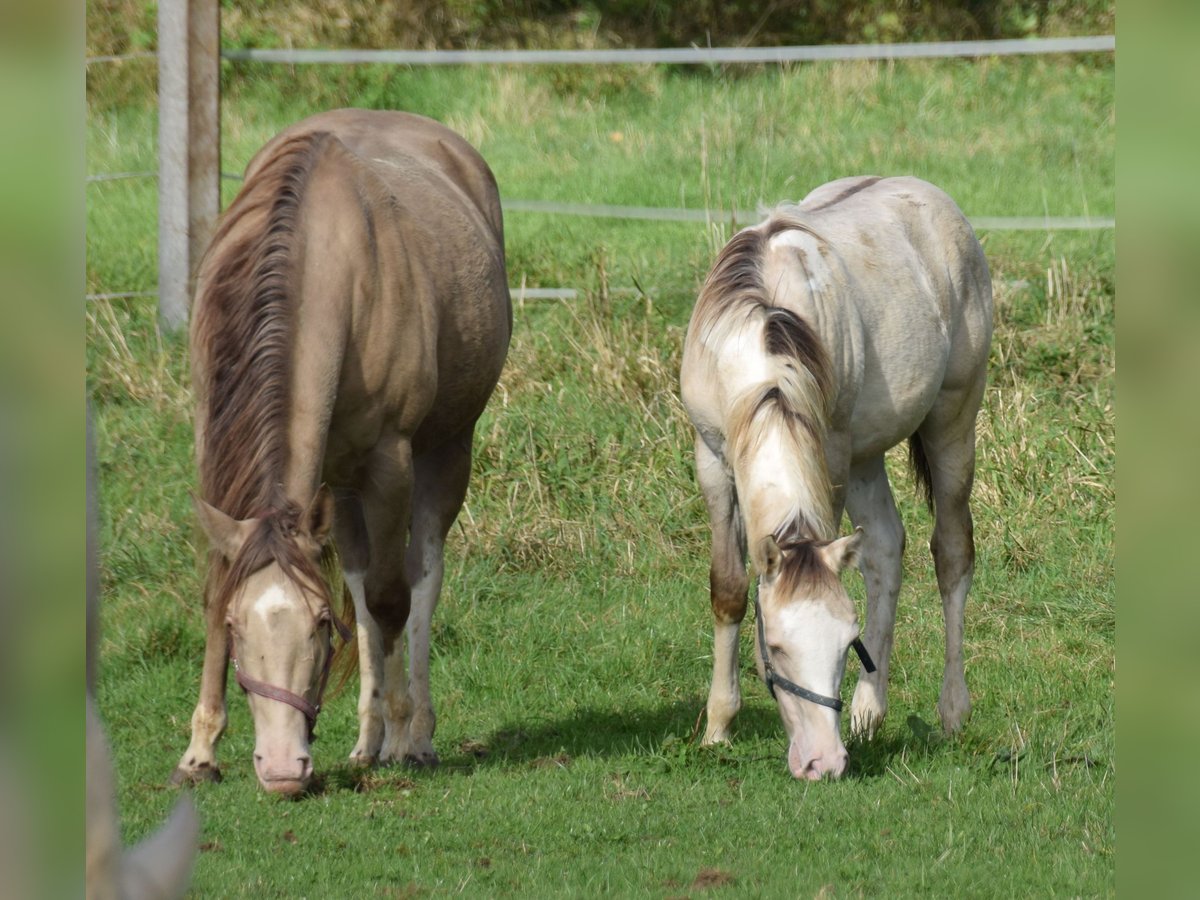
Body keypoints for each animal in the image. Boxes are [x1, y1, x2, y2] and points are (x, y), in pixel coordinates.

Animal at [172, 109, 511, 792]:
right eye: (238, 627)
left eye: (320, 627)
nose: (282, 768)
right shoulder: (219, 458)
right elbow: (224, 587)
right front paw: (200, 752)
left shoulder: (390, 463)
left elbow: (388, 600)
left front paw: (403, 737)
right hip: (340, 483)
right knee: (358, 576)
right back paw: (365, 740)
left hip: (444, 451)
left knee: (419, 578)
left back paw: (412, 735)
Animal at [681, 176, 988, 782]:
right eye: (775, 647)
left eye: (847, 643)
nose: (823, 761)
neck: (762, 356)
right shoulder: (712, 459)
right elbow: (729, 588)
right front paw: (718, 727)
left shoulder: (831, 455)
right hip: (869, 451)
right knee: (885, 550)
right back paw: (871, 713)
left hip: (951, 425)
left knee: (951, 555)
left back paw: (952, 710)